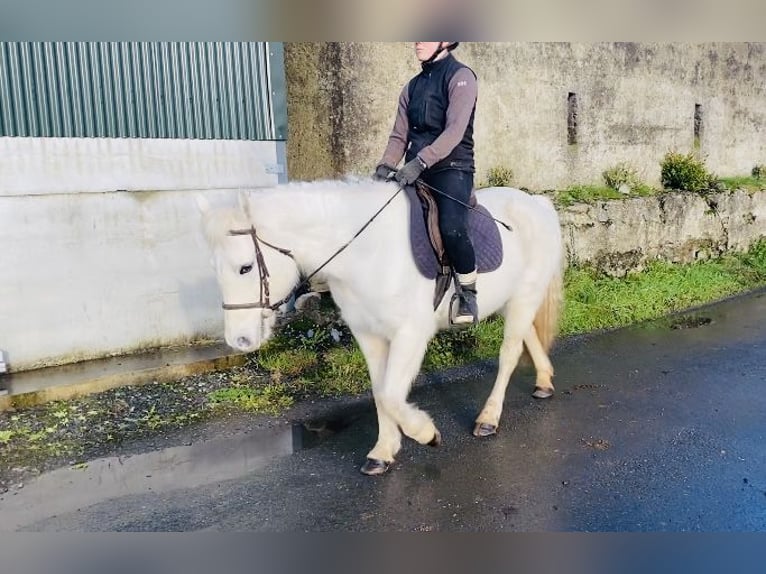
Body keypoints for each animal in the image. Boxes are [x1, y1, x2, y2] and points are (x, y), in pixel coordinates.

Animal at [198, 180, 568, 476]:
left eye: (245, 267)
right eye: (214, 269)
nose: (239, 339)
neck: (366, 253)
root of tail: (537, 203)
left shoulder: (411, 334)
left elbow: (391, 394)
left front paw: (425, 433)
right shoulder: (369, 334)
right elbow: (380, 392)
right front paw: (383, 452)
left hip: (524, 296)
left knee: (509, 354)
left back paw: (489, 418)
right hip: (513, 300)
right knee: (527, 337)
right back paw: (544, 381)